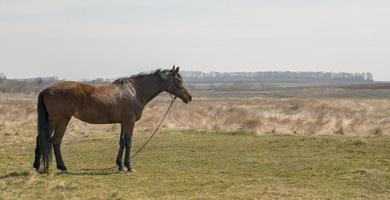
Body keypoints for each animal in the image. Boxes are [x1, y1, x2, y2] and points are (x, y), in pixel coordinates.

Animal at [33, 66, 192, 173]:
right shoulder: (129, 122)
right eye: (178, 80)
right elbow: (129, 142)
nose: (189, 97)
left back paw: (37, 166)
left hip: (51, 121)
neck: (134, 92)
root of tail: (47, 89)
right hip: (61, 120)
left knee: (41, 139)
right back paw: (63, 167)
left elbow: (121, 142)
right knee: (55, 141)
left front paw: (120, 165)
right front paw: (129, 166)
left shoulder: (123, 122)